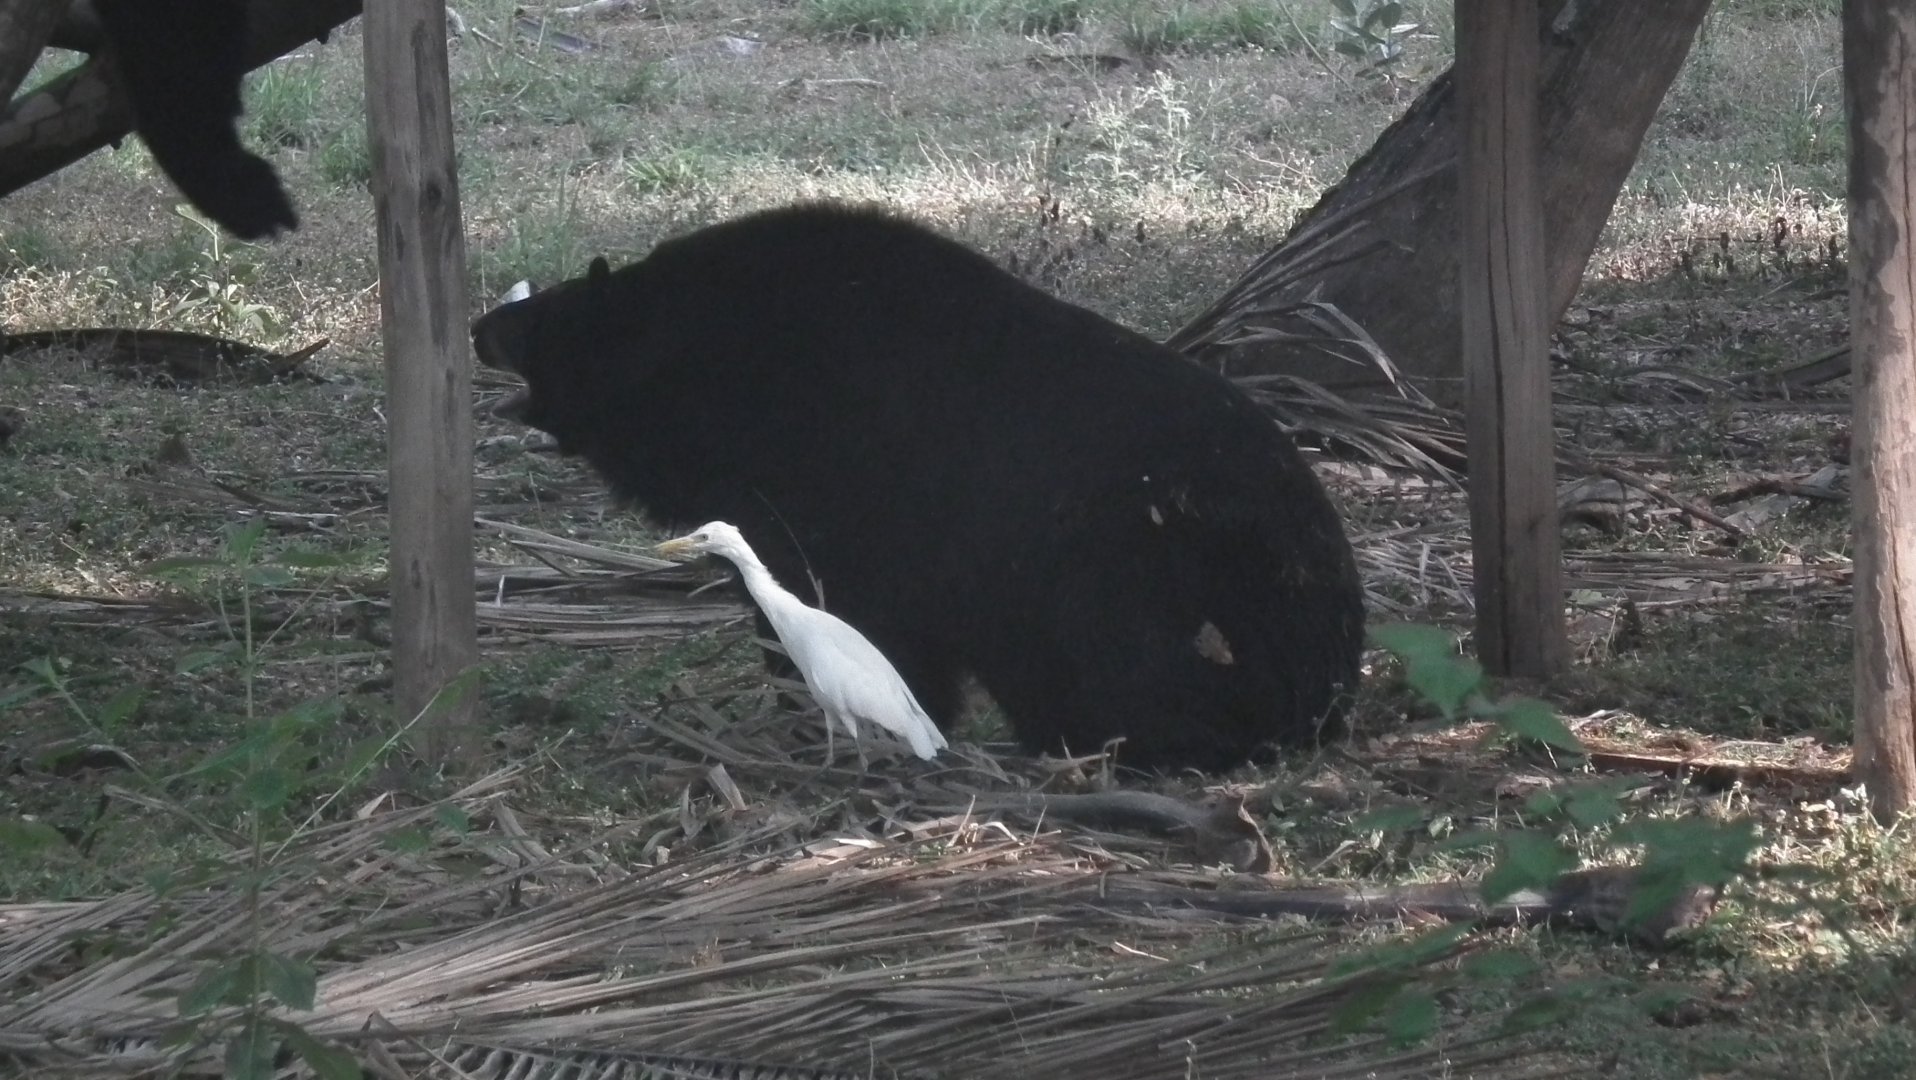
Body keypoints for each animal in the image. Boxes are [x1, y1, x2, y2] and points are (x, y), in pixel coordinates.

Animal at [471, 202, 1366, 773]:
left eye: (542, 319)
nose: (479, 326)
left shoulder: (842, 509)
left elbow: (855, 629)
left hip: (1116, 573)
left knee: (1127, 671)